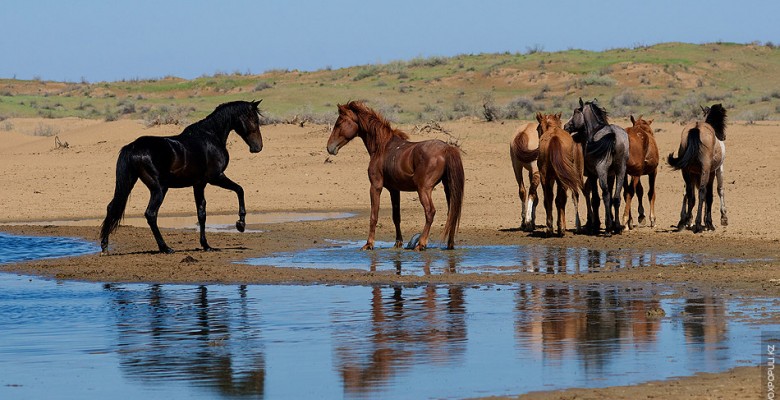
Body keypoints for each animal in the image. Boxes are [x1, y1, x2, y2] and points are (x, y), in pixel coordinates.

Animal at [100, 101, 266, 255]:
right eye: (254, 119)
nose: (258, 147)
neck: (210, 137)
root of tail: (133, 147)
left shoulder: (199, 184)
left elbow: (201, 213)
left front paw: (206, 245)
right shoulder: (215, 178)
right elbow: (240, 190)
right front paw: (240, 224)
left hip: (129, 183)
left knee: (112, 207)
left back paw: (104, 247)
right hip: (159, 189)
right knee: (151, 214)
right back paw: (165, 248)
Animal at [564, 98, 632, 234]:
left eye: (575, 112)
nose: (566, 126)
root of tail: (613, 134)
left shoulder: (593, 174)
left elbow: (595, 199)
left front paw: (597, 224)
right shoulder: (611, 175)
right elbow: (610, 197)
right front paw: (610, 220)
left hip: (601, 171)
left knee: (604, 195)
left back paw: (607, 228)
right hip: (621, 171)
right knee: (616, 197)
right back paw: (616, 227)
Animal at [668, 104, 728, 233]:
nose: (723, 136)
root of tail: (696, 128)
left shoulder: (695, 174)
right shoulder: (715, 170)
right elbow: (715, 193)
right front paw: (715, 221)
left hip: (686, 171)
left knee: (689, 193)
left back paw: (685, 222)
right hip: (705, 171)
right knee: (701, 192)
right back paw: (698, 224)